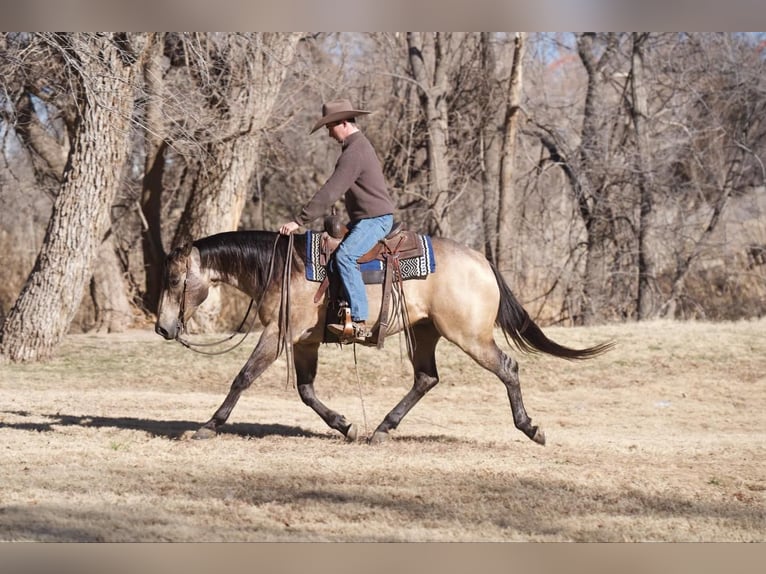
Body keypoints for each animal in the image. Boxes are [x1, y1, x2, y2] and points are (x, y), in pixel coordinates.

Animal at [154, 230, 612, 446]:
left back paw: (530, 428)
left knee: (507, 368)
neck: (281, 267)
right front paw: (345, 425)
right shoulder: (303, 342)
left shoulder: (278, 334)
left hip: (469, 336)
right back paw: (382, 429)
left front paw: (208, 426)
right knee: (426, 378)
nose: (162, 328)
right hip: (425, 332)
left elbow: (244, 377)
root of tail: (483, 262)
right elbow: (306, 390)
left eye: (174, 279)